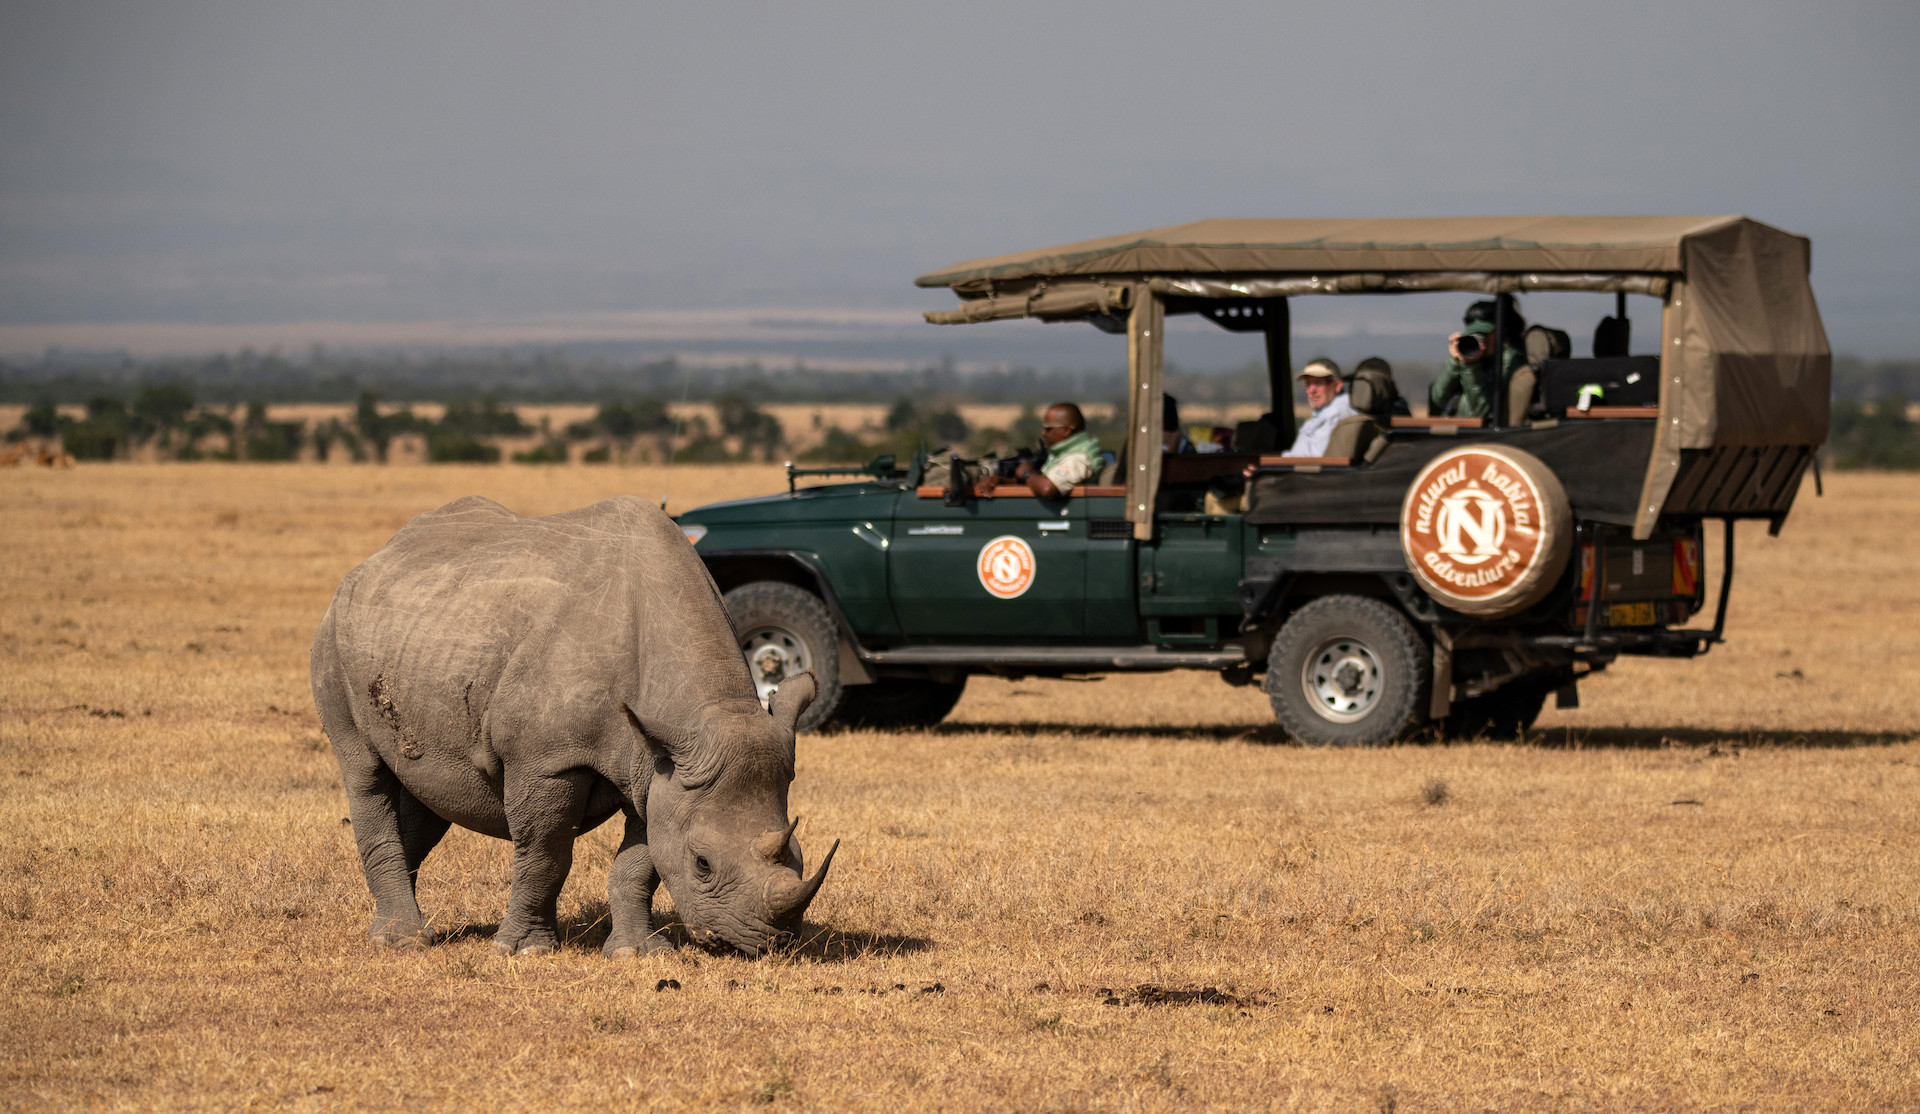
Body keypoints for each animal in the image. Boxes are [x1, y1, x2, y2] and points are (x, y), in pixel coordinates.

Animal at [309, 495, 836, 957]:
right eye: (702, 864)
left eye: (799, 854)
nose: (766, 943)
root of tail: (375, 558)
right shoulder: (550, 761)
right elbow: (546, 853)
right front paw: (523, 951)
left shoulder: (656, 765)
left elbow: (640, 862)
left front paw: (637, 953)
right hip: (333, 636)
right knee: (365, 772)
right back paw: (402, 941)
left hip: (426, 628)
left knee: (426, 787)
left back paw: (406, 929)